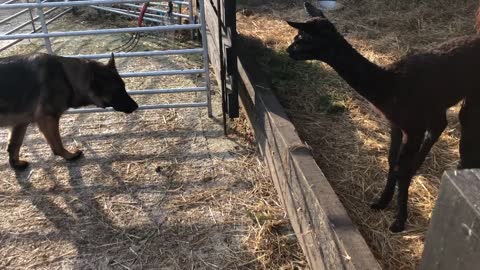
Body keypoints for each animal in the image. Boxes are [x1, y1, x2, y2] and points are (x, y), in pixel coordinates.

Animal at [0, 53, 139, 170]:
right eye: (119, 90)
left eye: (124, 87)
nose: (136, 106)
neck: (67, 78)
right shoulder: (48, 119)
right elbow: (57, 145)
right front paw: (69, 156)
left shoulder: (21, 123)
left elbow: (14, 145)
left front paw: (16, 164)